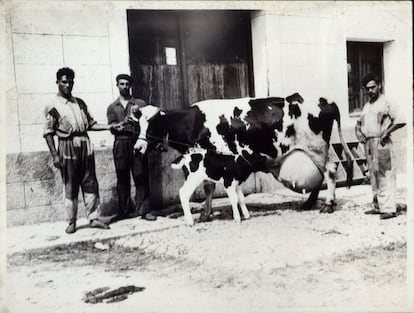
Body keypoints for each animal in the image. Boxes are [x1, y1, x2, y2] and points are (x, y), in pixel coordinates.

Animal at [133, 92, 352, 224]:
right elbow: (209, 186)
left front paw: (205, 213)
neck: (193, 122)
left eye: (153, 124)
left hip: (317, 148)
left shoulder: (207, 157)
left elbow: (209, 186)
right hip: (313, 151)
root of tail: (325, 100)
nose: (138, 147)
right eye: (137, 124)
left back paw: (328, 205)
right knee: (320, 175)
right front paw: (207, 212)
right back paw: (309, 203)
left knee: (330, 171)